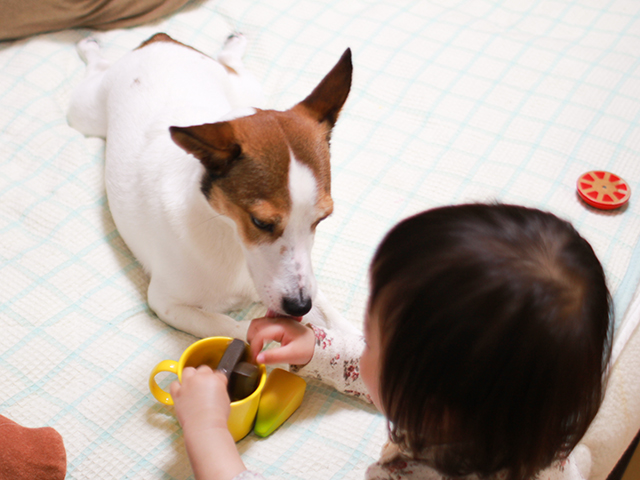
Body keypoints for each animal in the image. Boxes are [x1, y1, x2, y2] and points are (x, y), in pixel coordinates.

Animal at [68, 32, 358, 338]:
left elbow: (336, 319)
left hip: (246, 89)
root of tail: (160, 40)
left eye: (322, 219)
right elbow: (236, 329)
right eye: (260, 222)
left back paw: (234, 44)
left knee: (232, 66)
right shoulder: (168, 304)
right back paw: (89, 46)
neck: (229, 232)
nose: (299, 306)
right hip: (84, 111)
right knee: (96, 69)